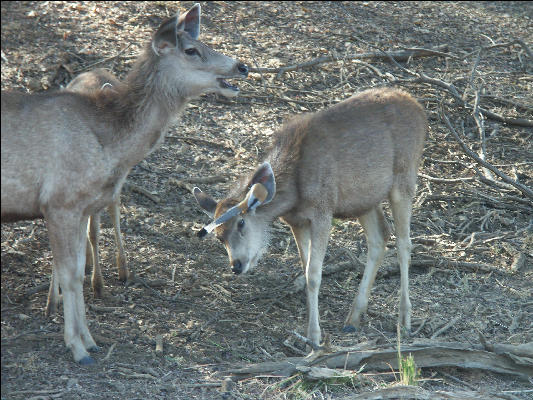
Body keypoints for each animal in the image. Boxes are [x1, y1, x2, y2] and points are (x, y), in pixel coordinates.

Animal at [1, 3, 247, 366]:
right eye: (191, 50)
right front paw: (77, 348)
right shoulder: (60, 201)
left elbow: (78, 269)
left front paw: (89, 341)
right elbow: (70, 274)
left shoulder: (80, 206)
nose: (242, 66)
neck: (108, 143)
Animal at [193, 87, 426, 350]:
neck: (295, 192)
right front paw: (306, 331)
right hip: (364, 198)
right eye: (219, 237)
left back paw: (404, 320)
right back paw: (353, 318)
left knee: (404, 243)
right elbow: (305, 271)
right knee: (380, 237)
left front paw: (314, 337)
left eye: (241, 222)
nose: (237, 265)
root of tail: (420, 110)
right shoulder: (296, 221)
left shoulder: (322, 212)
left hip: (404, 177)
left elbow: (314, 275)